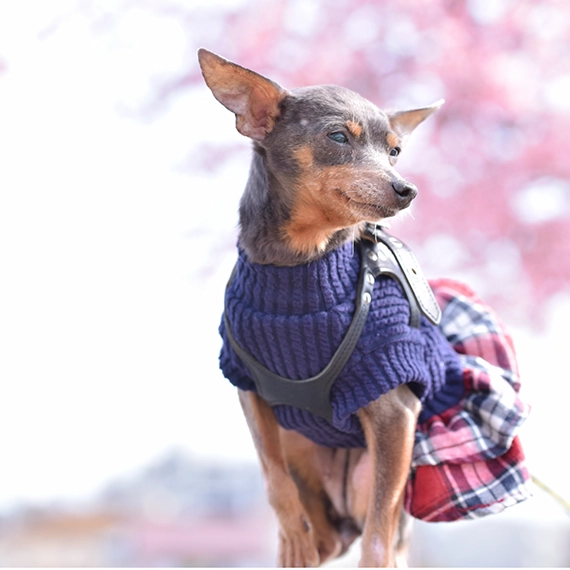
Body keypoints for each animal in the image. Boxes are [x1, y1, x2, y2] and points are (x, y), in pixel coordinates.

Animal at [197, 48, 532, 564]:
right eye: (338, 136)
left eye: (395, 151)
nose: (406, 189)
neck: (302, 265)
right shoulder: (249, 388)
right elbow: (276, 483)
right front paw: (291, 540)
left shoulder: (395, 410)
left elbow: (377, 540)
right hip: (307, 462)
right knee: (319, 527)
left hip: (372, 474)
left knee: (381, 533)